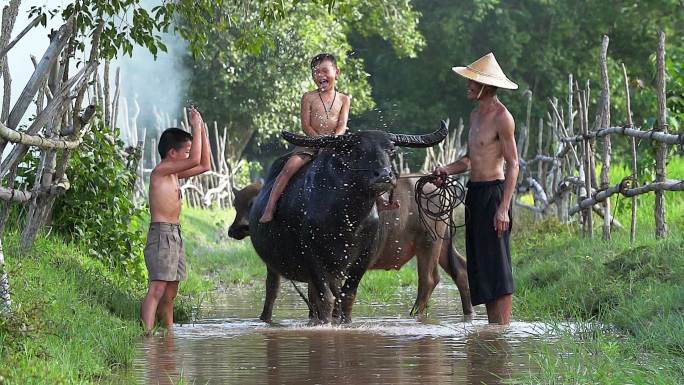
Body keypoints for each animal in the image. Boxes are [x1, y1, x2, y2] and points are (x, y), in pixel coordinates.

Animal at [248, 124, 446, 322]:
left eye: (392, 151)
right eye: (359, 151)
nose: (384, 175)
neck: (347, 217)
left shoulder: (364, 255)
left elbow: (348, 296)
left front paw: (346, 322)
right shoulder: (311, 254)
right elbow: (326, 298)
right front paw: (326, 324)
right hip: (274, 265)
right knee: (273, 292)